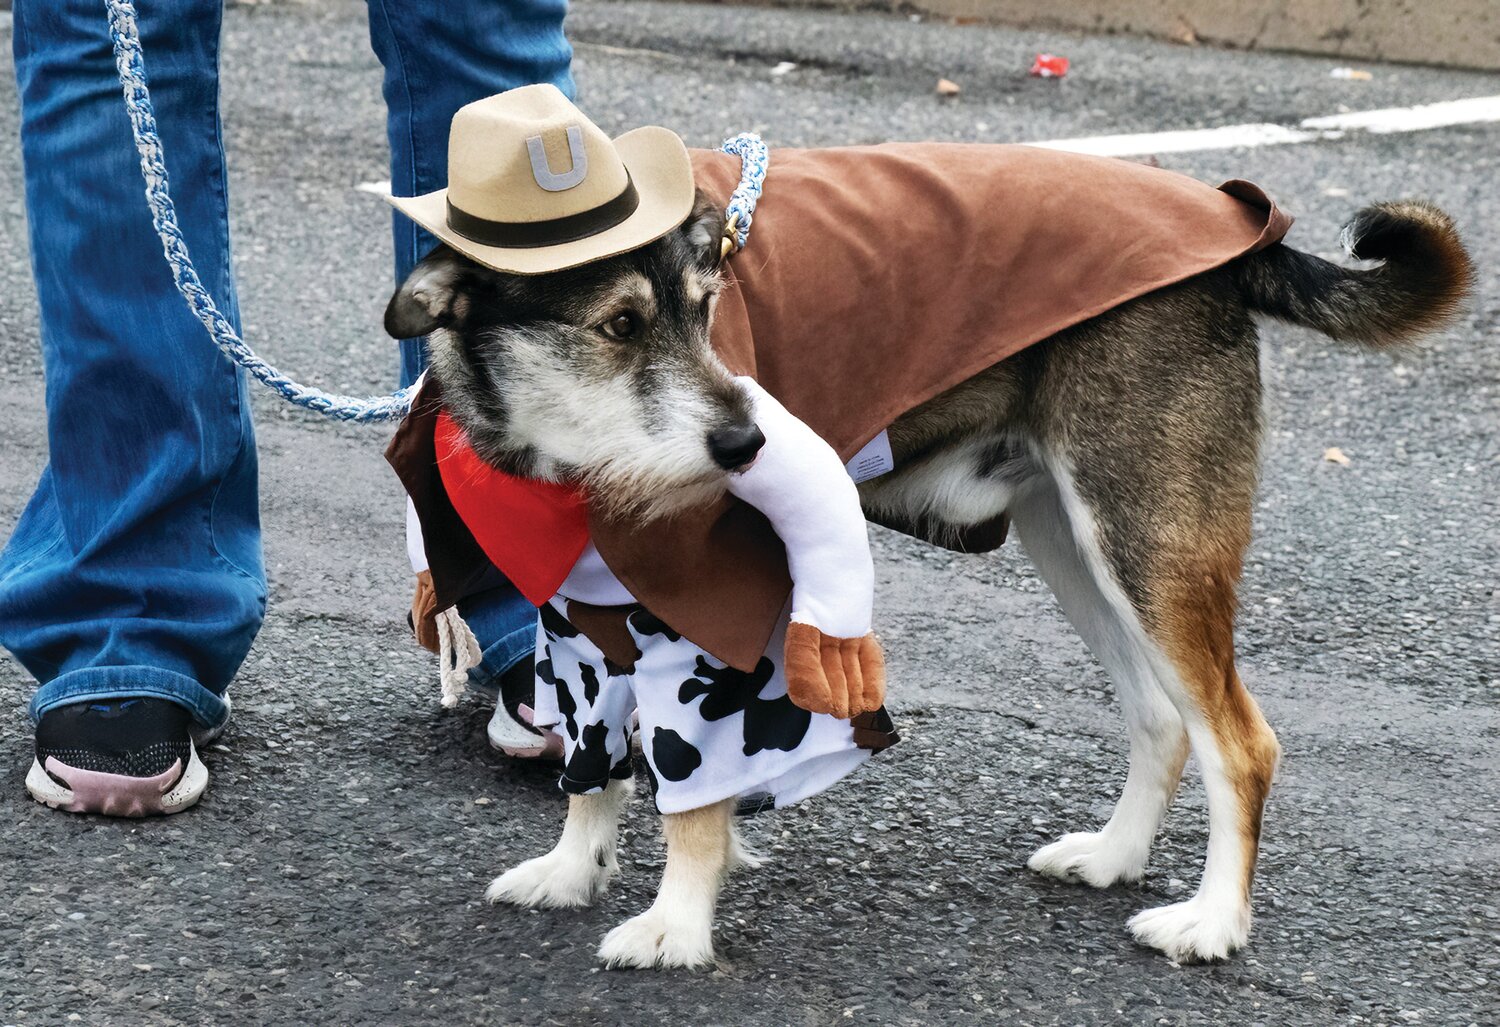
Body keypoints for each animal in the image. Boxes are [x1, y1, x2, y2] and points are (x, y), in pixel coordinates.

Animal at [381, 185, 1470, 971]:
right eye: (619, 326)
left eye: (706, 312)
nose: (748, 443)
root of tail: (1231, 238)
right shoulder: (576, 615)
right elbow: (591, 765)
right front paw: (574, 868)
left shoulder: (712, 629)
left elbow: (691, 795)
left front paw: (677, 925)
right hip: (1076, 546)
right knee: (1162, 719)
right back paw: (1115, 856)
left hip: (1147, 546)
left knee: (1240, 743)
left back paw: (1210, 921)